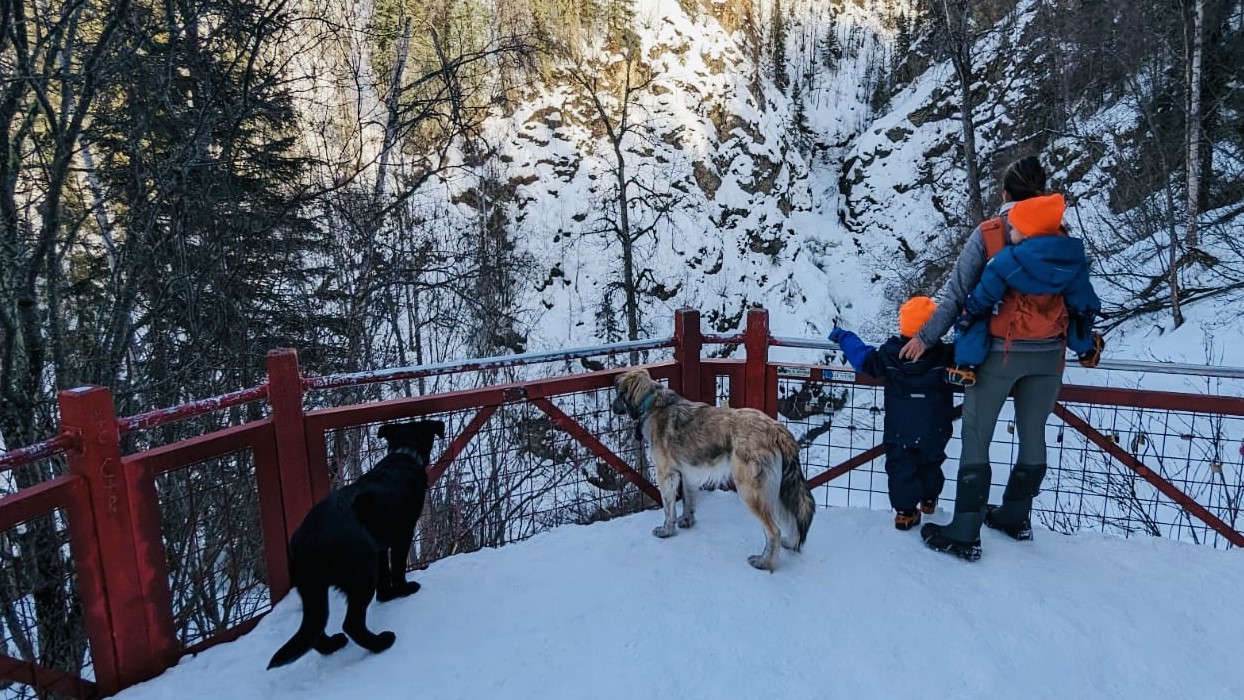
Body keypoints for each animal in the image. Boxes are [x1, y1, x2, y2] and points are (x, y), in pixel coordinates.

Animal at [264, 420, 445, 671]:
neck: (403, 454)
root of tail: (309, 542)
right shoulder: (403, 534)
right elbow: (398, 567)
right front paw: (404, 590)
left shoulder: (379, 545)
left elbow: (384, 575)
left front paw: (388, 595)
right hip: (360, 574)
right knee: (351, 623)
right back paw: (381, 642)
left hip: (311, 587)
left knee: (314, 628)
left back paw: (332, 646)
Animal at [612, 368, 816, 569]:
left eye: (617, 393)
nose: (612, 407)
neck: (652, 402)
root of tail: (776, 428)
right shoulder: (687, 472)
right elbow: (688, 501)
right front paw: (687, 521)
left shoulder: (665, 475)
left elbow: (668, 509)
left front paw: (667, 530)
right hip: (779, 488)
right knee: (793, 517)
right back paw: (790, 543)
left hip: (751, 491)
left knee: (774, 531)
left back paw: (764, 562)